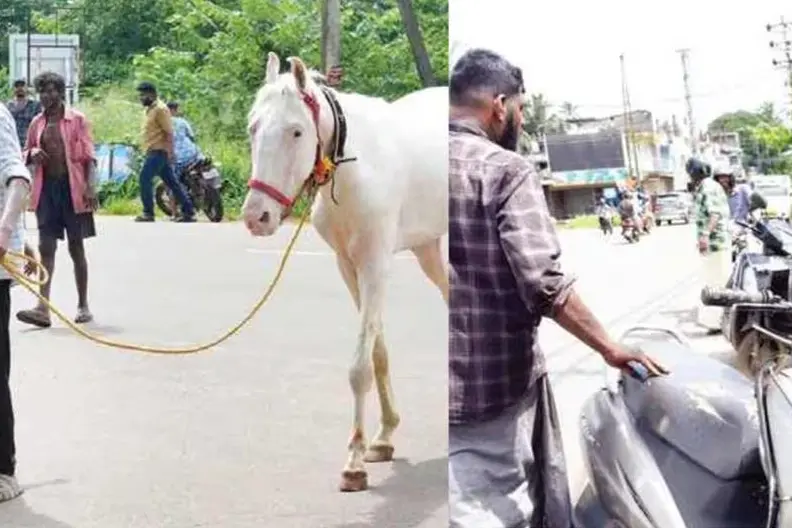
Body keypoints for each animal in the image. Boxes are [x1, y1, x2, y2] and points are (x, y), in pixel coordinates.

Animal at [241, 52, 448, 492]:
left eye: (296, 131)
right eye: (253, 127)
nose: (256, 217)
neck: (356, 170)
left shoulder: (375, 263)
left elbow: (358, 367)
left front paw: (354, 461)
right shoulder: (348, 265)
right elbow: (378, 354)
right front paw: (384, 436)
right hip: (426, 247)